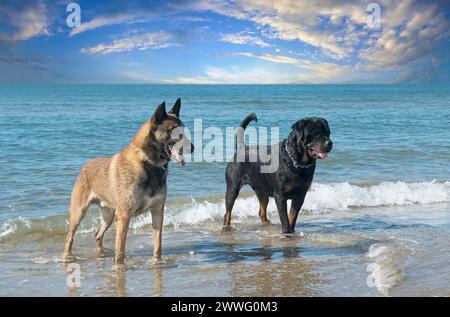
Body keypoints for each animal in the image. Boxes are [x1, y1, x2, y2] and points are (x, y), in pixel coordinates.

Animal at [62, 99, 192, 264]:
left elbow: (157, 245)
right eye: (175, 131)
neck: (148, 162)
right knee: (69, 237)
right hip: (79, 213)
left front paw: (157, 262)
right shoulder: (124, 216)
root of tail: (85, 167)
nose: (193, 148)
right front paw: (119, 267)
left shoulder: (157, 211)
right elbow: (120, 251)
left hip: (108, 216)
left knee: (98, 234)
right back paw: (67, 257)